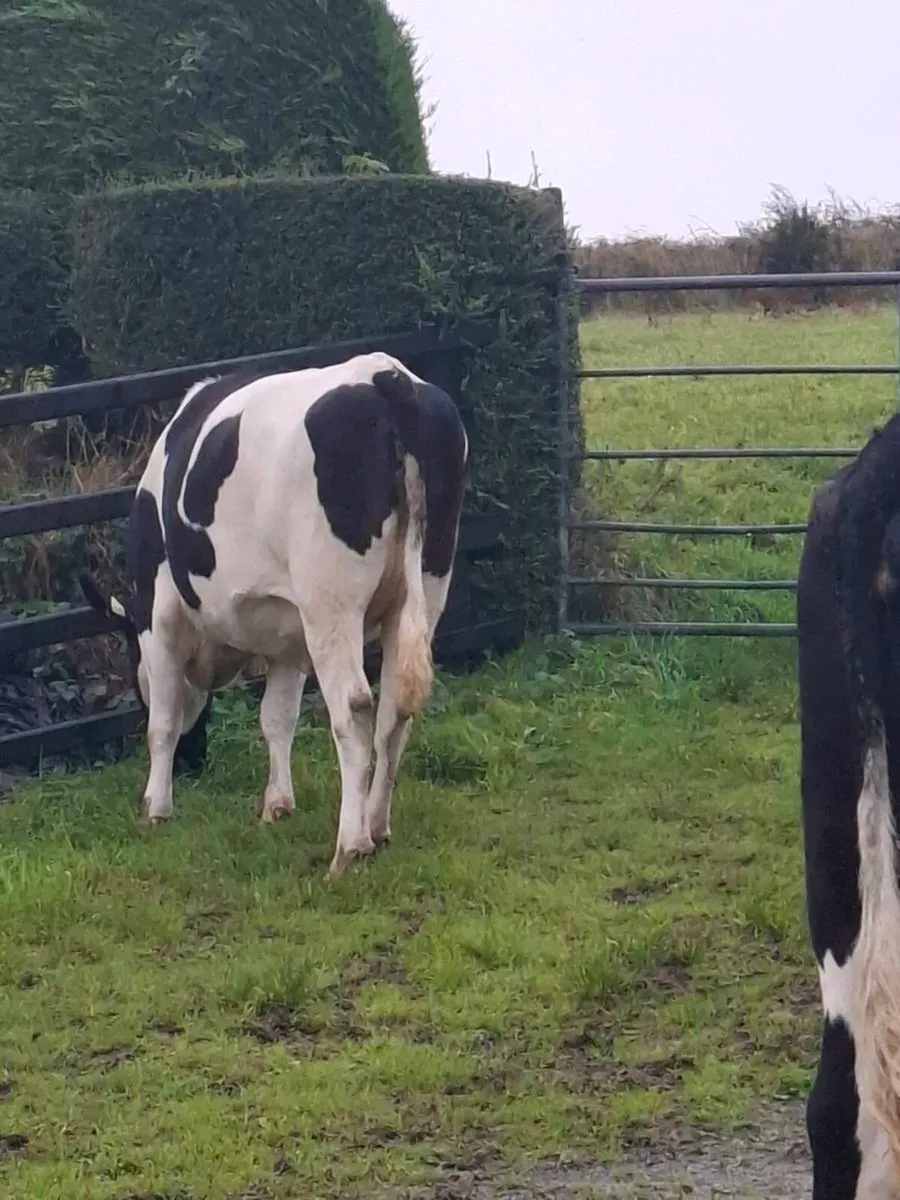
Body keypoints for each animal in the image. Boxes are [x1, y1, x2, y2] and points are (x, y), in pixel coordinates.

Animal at [80, 351, 468, 877]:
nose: (193, 763)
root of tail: (385, 375)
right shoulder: (289, 637)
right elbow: (277, 718)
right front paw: (278, 805)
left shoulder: (158, 614)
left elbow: (161, 722)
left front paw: (155, 809)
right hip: (427, 587)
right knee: (394, 711)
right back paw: (376, 826)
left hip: (332, 603)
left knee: (353, 709)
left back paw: (349, 846)